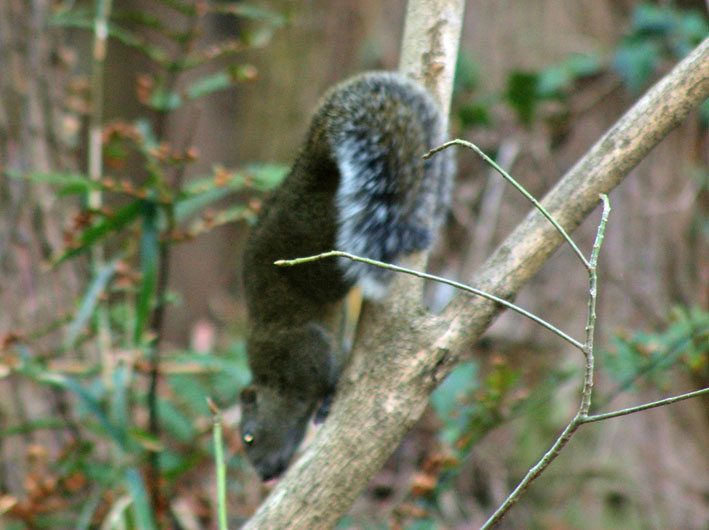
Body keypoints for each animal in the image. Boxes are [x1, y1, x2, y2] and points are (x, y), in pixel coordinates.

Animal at [241, 70, 450, 478]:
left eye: (249, 438)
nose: (264, 475)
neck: (272, 383)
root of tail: (307, 179)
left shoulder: (298, 350)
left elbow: (322, 372)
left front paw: (326, 397)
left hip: (321, 249)